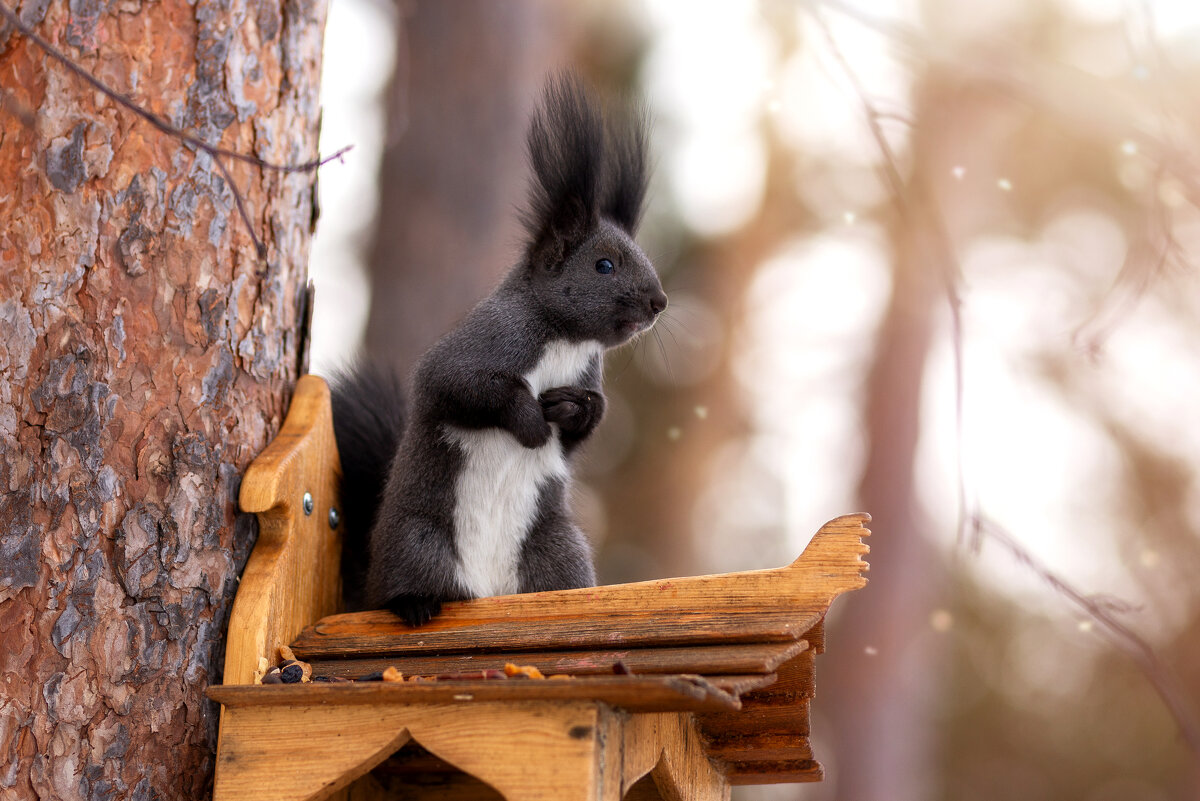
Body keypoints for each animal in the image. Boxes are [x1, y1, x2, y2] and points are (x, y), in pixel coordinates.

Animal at [328, 76, 667, 623]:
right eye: (604, 265)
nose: (659, 302)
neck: (567, 340)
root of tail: (484, 593)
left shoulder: (586, 372)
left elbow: (582, 430)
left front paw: (574, 409)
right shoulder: (490, 341)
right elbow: (463, 385)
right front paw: (532, 423)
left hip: (557, 548)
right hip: (415, 542)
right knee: (403, 586)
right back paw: (415, 605)